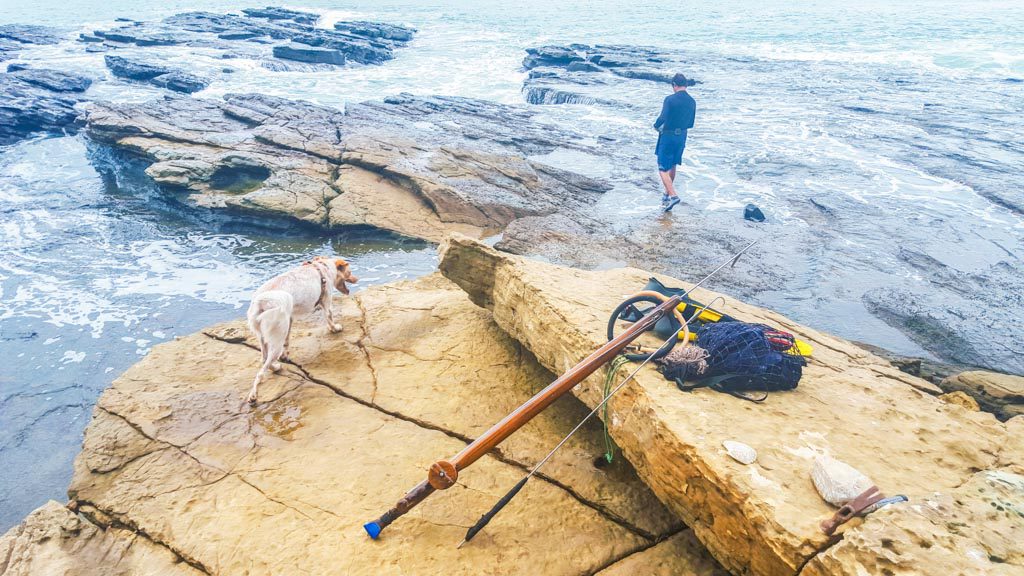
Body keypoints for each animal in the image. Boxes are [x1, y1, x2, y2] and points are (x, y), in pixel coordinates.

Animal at [245, 255, 358, 403]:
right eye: (350, 272)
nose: (357, 279)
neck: (323, 268)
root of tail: (260, 302)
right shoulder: (326, 299)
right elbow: (329, 316)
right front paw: (335, 329)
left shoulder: (290, 319)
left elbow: (288, 341)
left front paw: (285, 355)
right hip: (276, 340)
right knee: (261, 372)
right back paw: (254, 394)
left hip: (264, 337)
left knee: (264, 359)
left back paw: (275, 367)